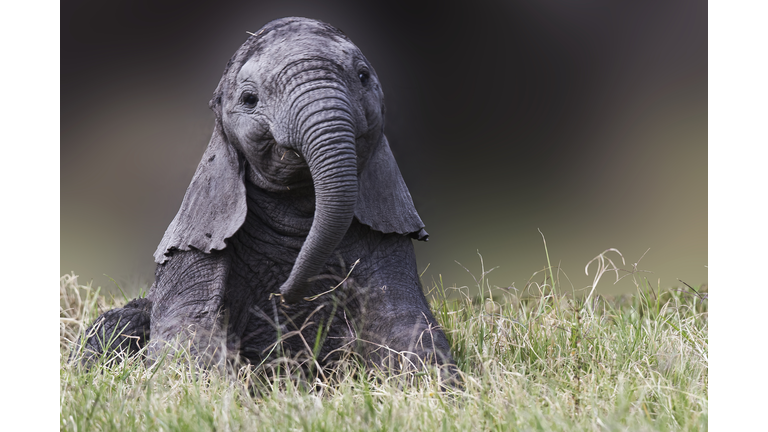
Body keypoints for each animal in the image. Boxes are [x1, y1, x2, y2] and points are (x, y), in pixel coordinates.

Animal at [76, 17, 457, 381]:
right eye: (249, 99)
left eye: (363, 77)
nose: (285, 291)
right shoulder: (192, 250)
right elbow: (186, 336)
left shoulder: (390, 242)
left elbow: (408, 330)